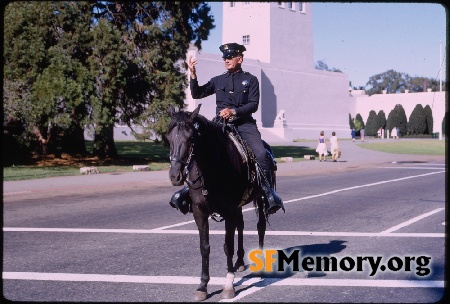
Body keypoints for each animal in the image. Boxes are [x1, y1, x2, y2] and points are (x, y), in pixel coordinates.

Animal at [164, 104, 272, 302]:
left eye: (191, 138)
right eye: (168, 138)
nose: (175, 175)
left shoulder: (228, 210)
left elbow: (227, 246)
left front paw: (229, 285)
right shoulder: (200, 212)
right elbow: (204, 247)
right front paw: (202, 286)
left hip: (260, 199)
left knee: (260, 227)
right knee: (241, 226)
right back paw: (239, 262)